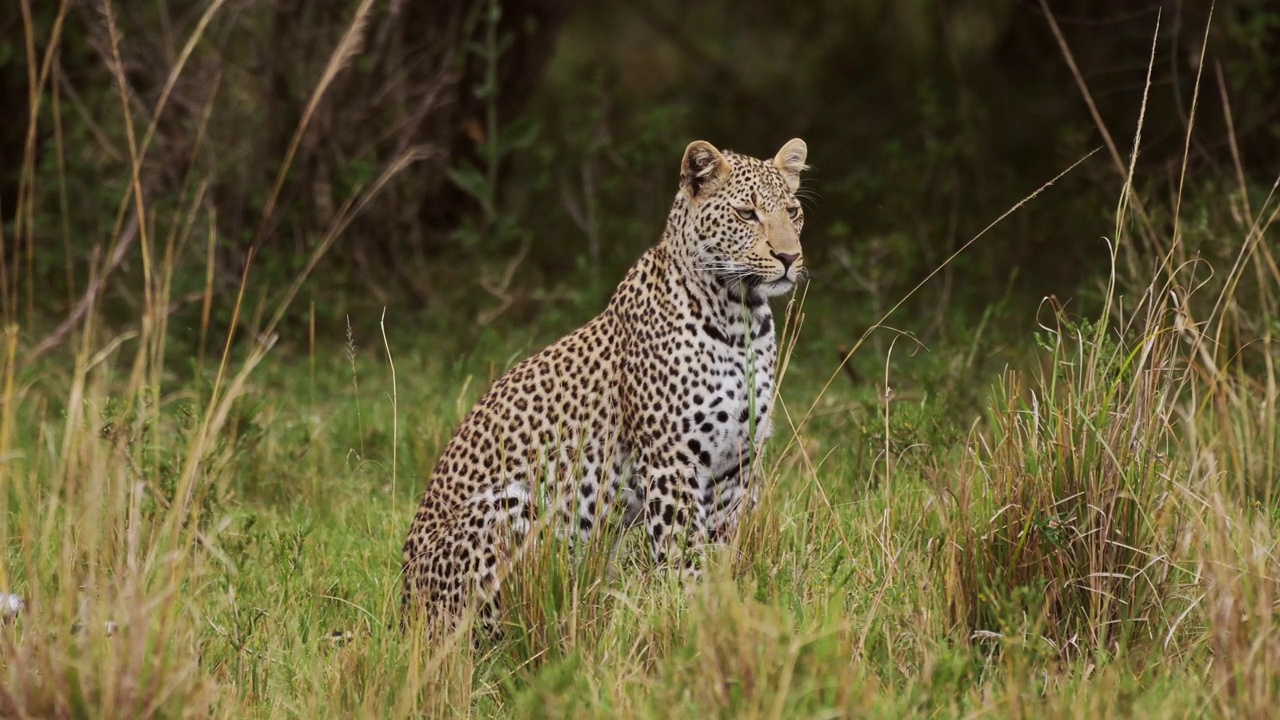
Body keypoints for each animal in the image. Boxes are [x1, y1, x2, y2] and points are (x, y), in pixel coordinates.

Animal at [399, 137, 808, 630]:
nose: (789, 258)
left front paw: (721, 607)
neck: (740, 319)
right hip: (511, 506)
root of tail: (402, 606)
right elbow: (680, 550)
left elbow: (722, 549)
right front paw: (688, 613)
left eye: (793, 212)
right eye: (747, 214)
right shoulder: (672, 460)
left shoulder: (739, 463)